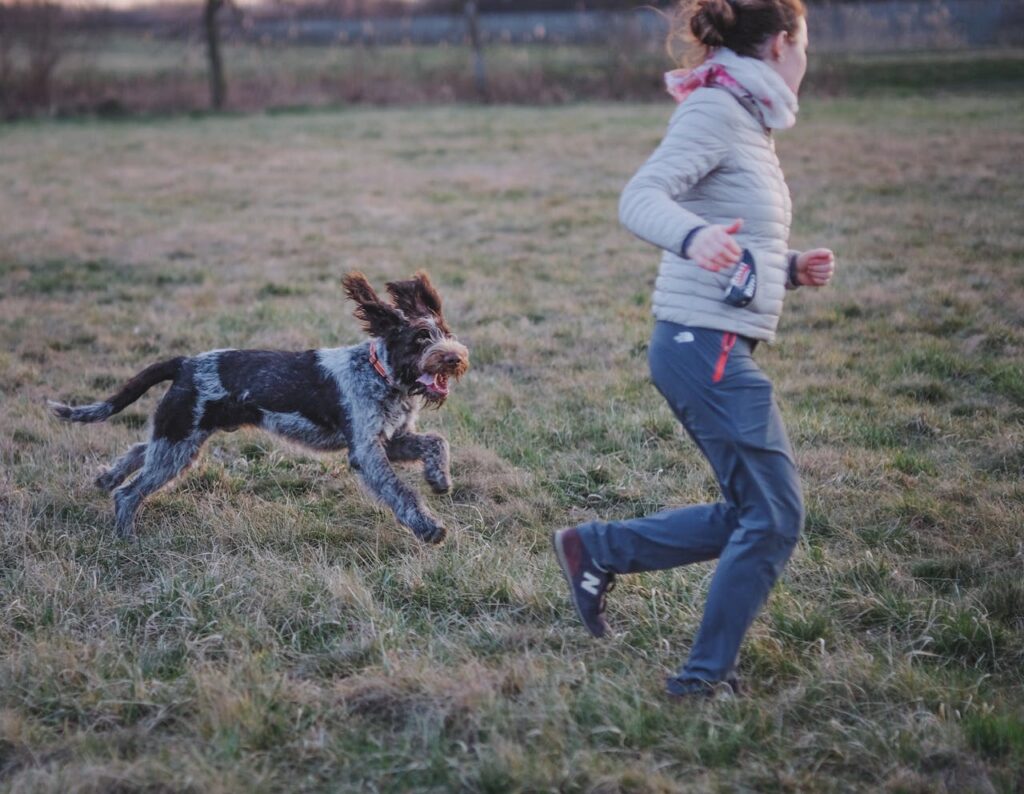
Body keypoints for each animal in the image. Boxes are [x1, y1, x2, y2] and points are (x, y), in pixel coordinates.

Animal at [50, 270, 471, 545]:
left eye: (446, 333)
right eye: (420, 339)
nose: (455, 357)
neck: (383, 376)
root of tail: (185, 362)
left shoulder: (394, 439)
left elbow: (437, 441)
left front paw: (439, 478)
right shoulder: (366, 451)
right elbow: (401, 492)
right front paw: (428, 528)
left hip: (180, 436)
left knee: (140, 449)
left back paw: (106, 478)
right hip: (180, 440)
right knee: (131, 492)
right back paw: (126, 537)